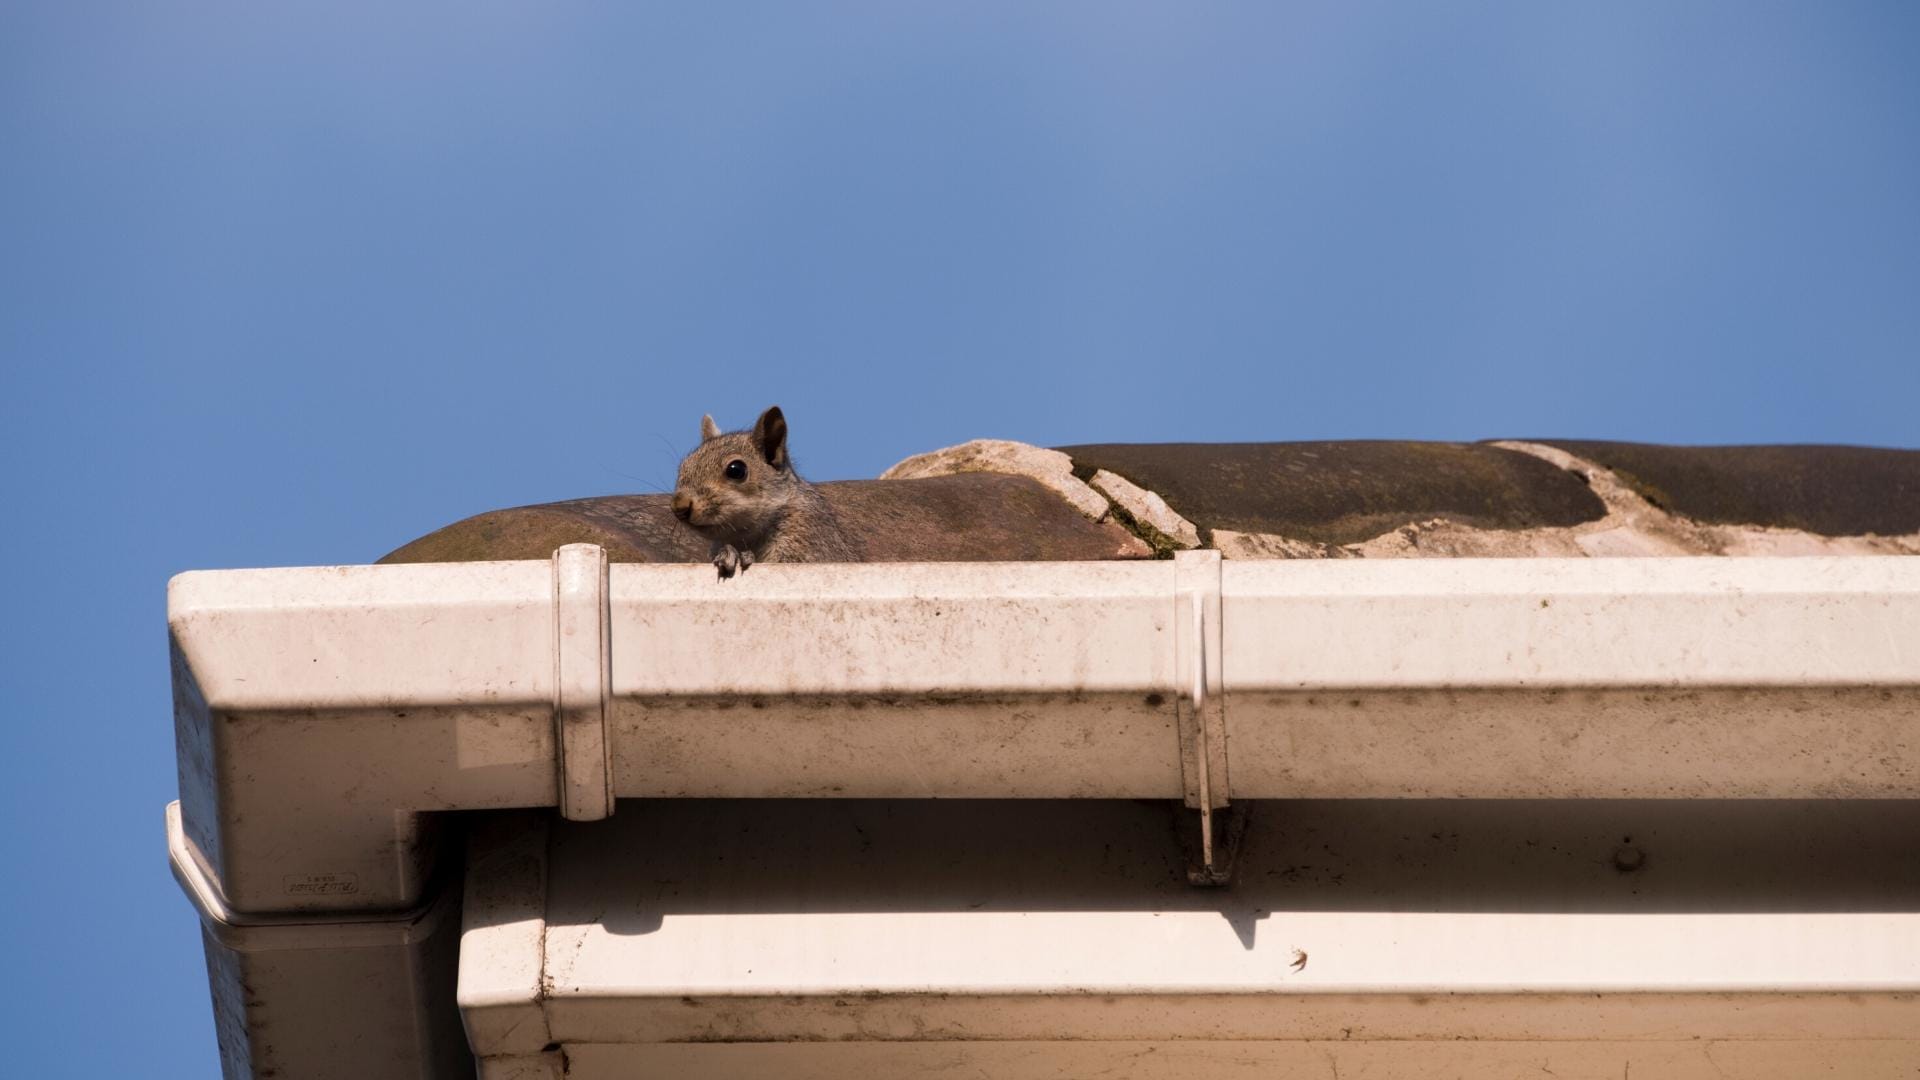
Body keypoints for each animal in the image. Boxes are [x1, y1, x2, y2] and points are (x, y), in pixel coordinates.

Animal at [668, 401, 864, 572]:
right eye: (683, 466)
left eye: (736, 470)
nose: (679, 507)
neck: (744, 537)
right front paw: (727, 554)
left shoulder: (810, 539)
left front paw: (738, 557)